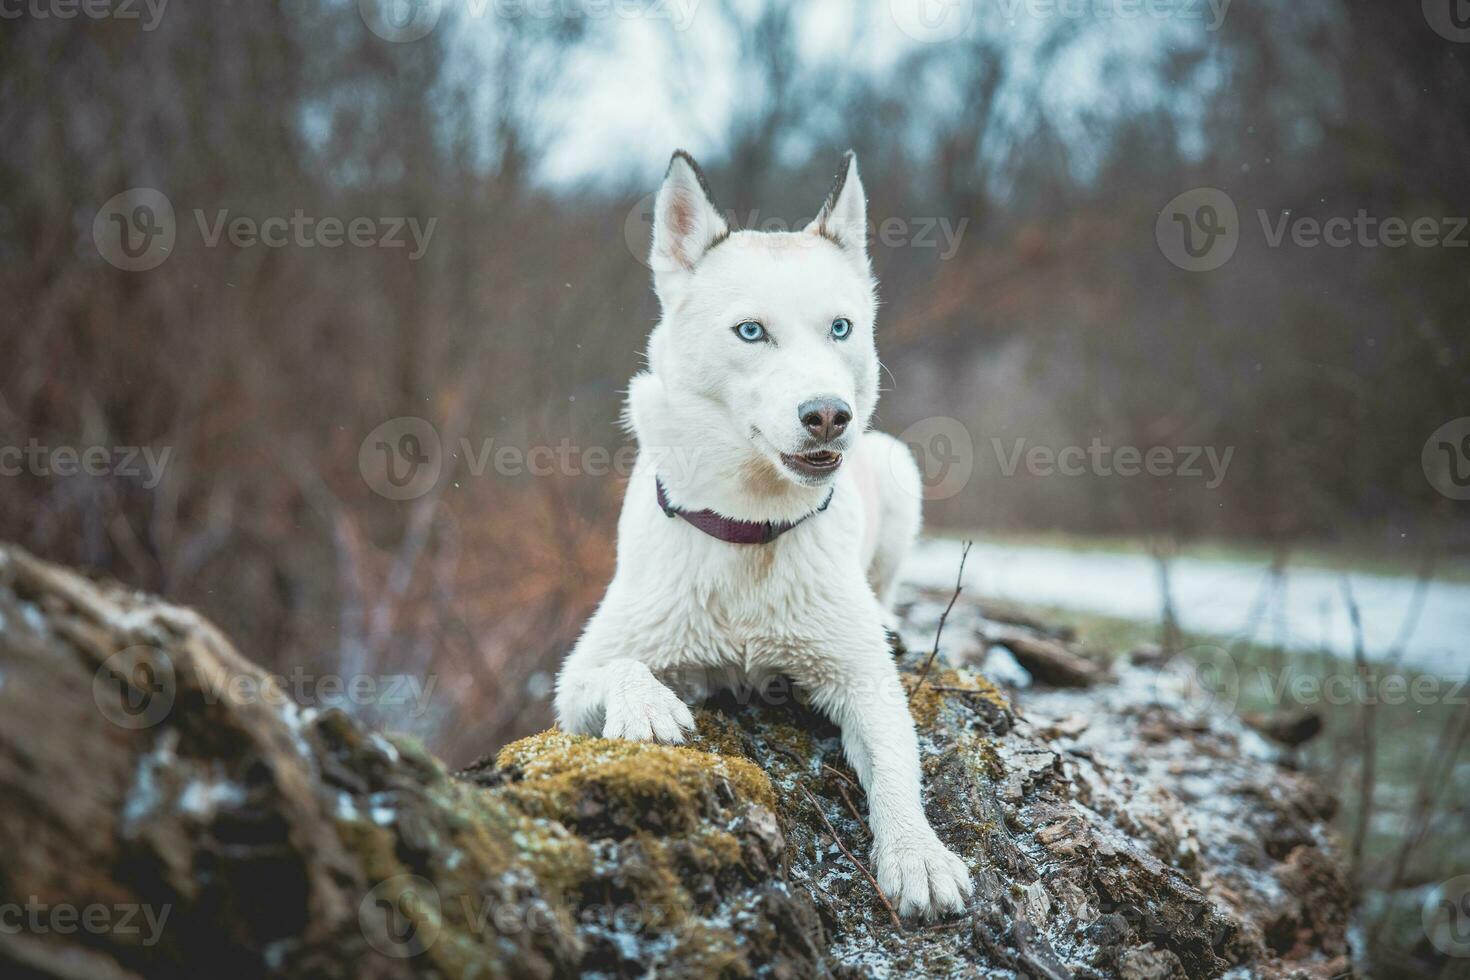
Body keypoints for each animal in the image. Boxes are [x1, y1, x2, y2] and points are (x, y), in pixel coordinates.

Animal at [555, 149, 970, 916]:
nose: (828, 415)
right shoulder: (573, 683)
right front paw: (648, 704)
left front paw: (916, 853)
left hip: (898, 469)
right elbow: (617, 668)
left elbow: (898, 770)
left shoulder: (865, 681)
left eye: (841, 328)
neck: (750, 529)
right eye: (752, 332)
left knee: (887, 585)